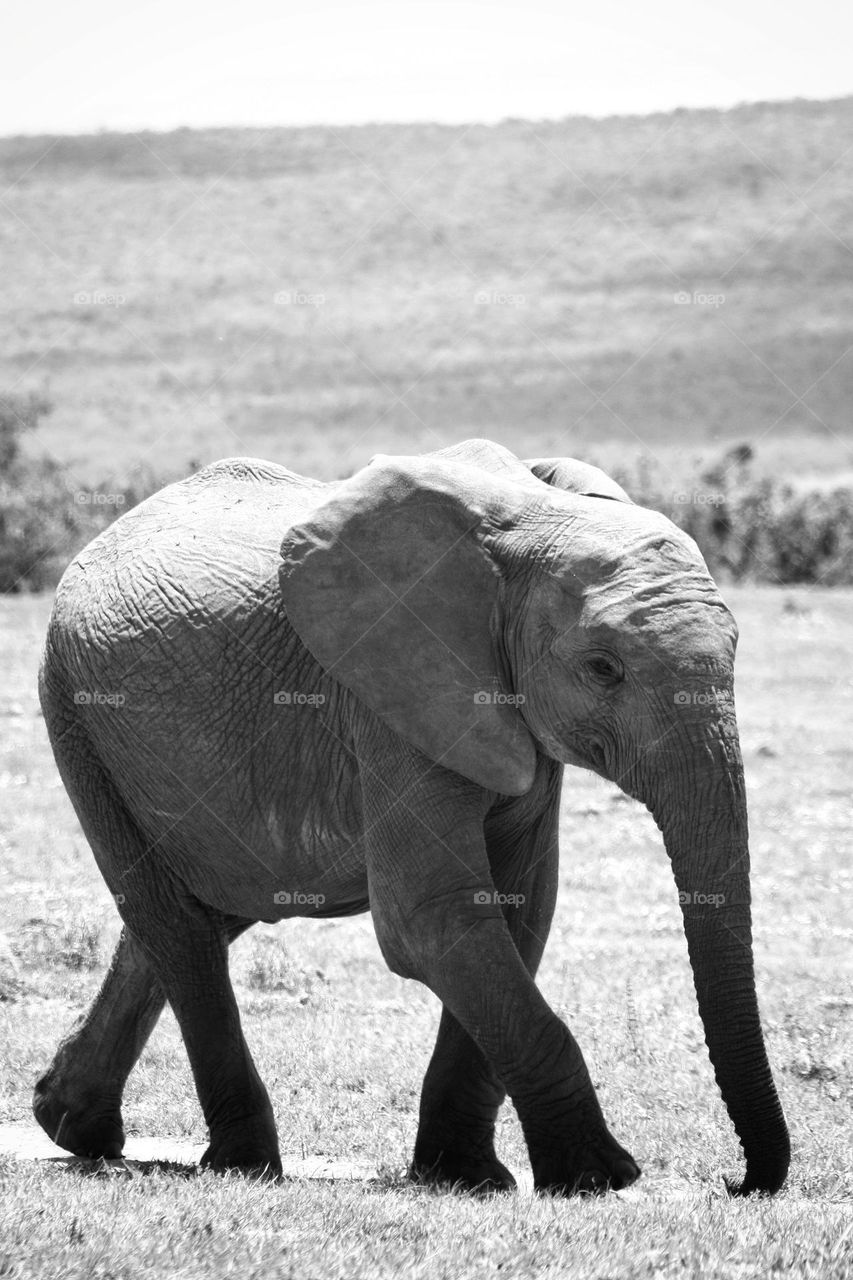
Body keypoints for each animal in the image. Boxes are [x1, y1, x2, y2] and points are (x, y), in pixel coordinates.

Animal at [33, 437, 790, 1196]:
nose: (735, 1183)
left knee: (206, 908)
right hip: (74, 711)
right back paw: (241, 1163)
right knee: (176, 925)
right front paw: (598, 1177)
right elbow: (432, 919)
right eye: (603, 669)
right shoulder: (393, 694)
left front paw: (465, 1176)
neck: (532, 525)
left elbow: (517, 909)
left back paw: (69, 1123)